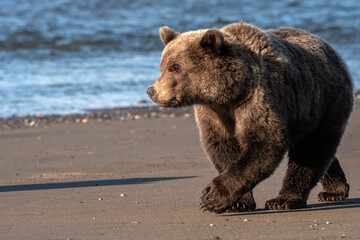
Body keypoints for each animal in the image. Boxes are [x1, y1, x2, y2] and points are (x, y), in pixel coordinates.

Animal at [146, 22, 354, 214]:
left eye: (176, 68)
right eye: (161, 67)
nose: (151, 91)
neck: (230, 92)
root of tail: (331, 49)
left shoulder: (257, 98)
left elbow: (264, 142)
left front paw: (211, 197)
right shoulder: (213, 113)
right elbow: (223, 147)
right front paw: (237, 202)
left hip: (326, 101)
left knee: (313, 149)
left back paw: (285, 199)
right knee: (318, 151)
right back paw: (333, 190)